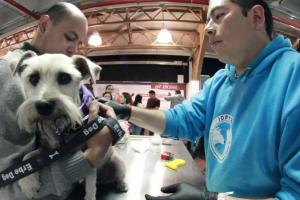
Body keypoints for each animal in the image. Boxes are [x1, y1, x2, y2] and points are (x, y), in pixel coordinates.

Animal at [13, 52, 126, 200]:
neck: (59, 126)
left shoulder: (89, 162)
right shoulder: (47, 150)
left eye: (64, 77)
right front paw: (28, 184)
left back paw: (122, 184)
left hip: (118, 163)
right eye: (33, 78)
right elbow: (28, 156)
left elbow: (90, 188)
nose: (44, 106)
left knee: (120, 175)